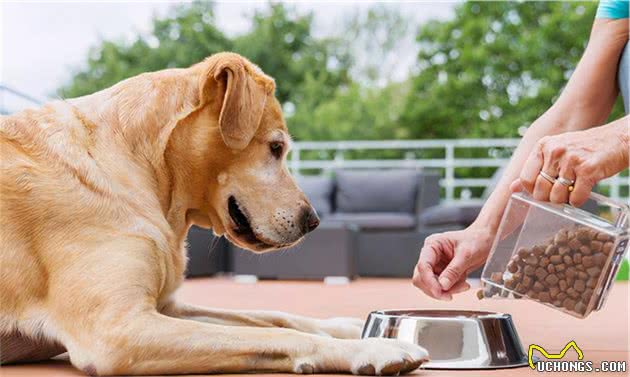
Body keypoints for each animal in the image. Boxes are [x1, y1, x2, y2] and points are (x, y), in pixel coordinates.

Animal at [0, 52, 430, 374]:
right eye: (276, 147)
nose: (314, 221)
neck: (142, 168)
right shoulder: (116, 329)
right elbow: (270, 334)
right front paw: (372, 349)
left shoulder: (167, 307)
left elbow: (272, 315)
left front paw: (350, 328)